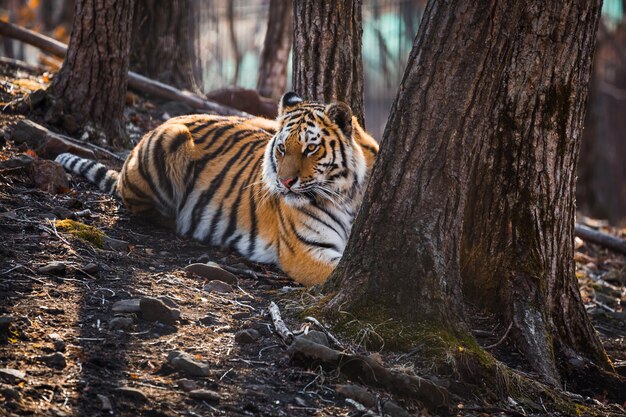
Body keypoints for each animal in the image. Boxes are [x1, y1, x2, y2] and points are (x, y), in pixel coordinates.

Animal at [56, 91, 376, 286]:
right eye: (282, 149)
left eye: (311, 148)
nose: (284, 183)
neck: (348, 194)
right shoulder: (308, 250)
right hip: (169, 139)